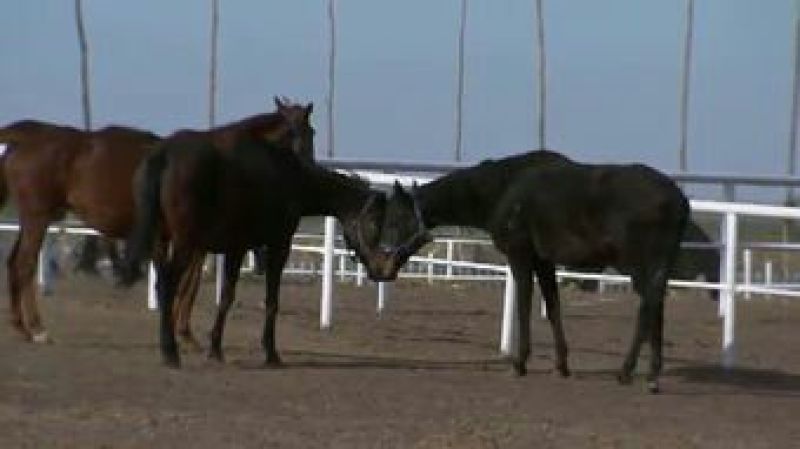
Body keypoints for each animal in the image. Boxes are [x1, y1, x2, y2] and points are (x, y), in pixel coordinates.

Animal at [0, 97, 313, 344]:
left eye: (311, 132)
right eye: (293, 133)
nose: (307, 171)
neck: (222, 163)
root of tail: (26, 137)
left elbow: (183, 284)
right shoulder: (194, 243)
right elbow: (186, 285)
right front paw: (181, 334)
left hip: (32, 219)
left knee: (14, 263)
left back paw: (21, 327)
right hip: (38, 218)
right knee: (25, 265)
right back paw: (37, 329)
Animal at [122, 126, 390, 368]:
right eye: (375, 222)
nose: (384, 270)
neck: (290, 177)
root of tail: (163, 155)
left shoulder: (235, 248)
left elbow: (226, 297)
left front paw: (215, 348)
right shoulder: (276, 246)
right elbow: (268, 300)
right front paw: (270, 353)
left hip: (162, 242)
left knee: (162, 285)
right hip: (184, 244)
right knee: (168, 285)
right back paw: (170, 353)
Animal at [374, 150, 689, 393]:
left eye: (395, 219)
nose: (382, 264)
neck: (504, 188)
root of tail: (678, 199)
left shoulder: (520, 255)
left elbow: (524, 305)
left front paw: (520, 363)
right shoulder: (543, 261)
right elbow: (553, 307)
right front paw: (561, 365)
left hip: (638, 265)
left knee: (648, 307)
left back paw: (628, 372)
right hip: (655, 266)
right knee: (656, 306)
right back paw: (651, 376)